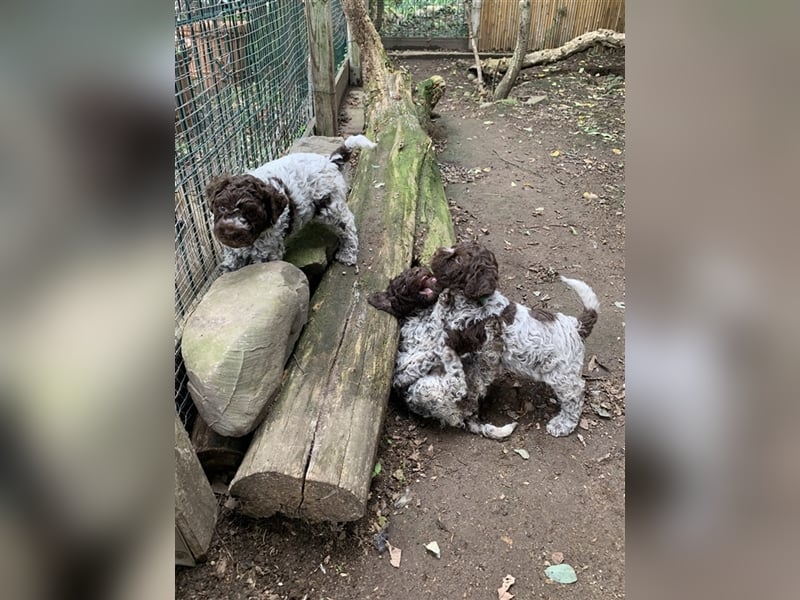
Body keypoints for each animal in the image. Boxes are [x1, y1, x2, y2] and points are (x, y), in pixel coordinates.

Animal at [206, 135, 376, 272]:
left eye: (251, 213)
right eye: (222, 207)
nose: (230, 232)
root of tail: (329, 161)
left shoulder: (267, 252)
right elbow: (232, 258)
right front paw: (228, 269)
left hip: (330, 207)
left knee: (347, 226)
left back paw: (348, 253)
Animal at [368, 264, 520, 438]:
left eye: (415, 270)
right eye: (403, 286)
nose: (418, 271)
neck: (423, 310)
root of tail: (468, 412)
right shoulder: (409, 355)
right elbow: (438, 323)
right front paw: (445, 301)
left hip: (477, 373)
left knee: (487, 359)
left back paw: (492, 328)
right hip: (425, 390)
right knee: (456, 386)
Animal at [432, 241, 600, 438]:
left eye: (458, 259)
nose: (435, 253)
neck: (476, 301)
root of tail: (576, 325)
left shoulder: (471, 339)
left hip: (563, 373)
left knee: (575, 395)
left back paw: (563, 424)